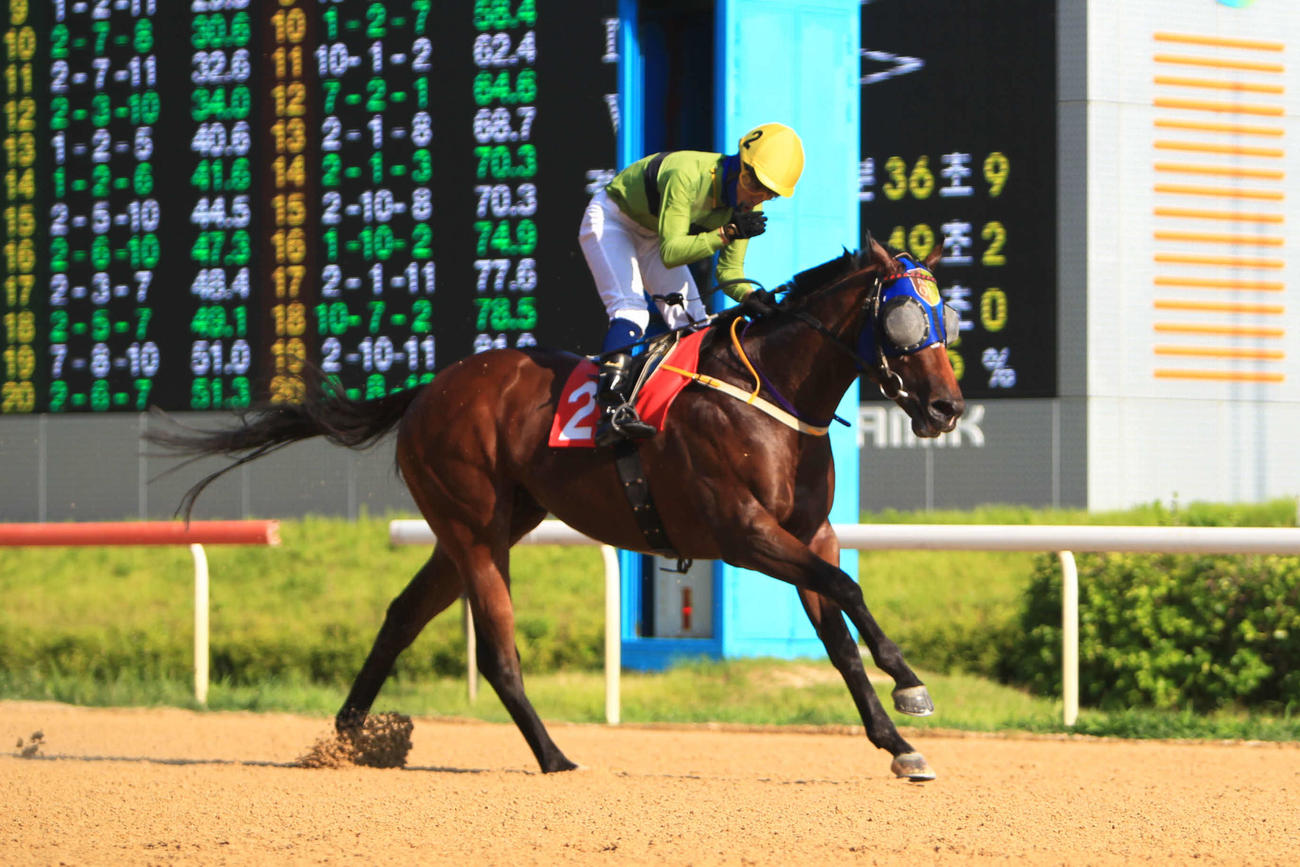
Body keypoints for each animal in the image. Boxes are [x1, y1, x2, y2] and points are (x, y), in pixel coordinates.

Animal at [148, 235, 965, 781]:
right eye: (905, 318)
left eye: (947, 319)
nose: (946, 408)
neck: (772, 393)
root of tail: (429, 388)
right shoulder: (743, 533)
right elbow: (850, 591)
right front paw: (913, 684)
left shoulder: (810, 533)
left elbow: (840, 632)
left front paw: (899, 746)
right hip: (474, 527)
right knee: (497, 651)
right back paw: (553, 755)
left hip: (484, 525)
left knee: (403, 615)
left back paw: (347, 739)